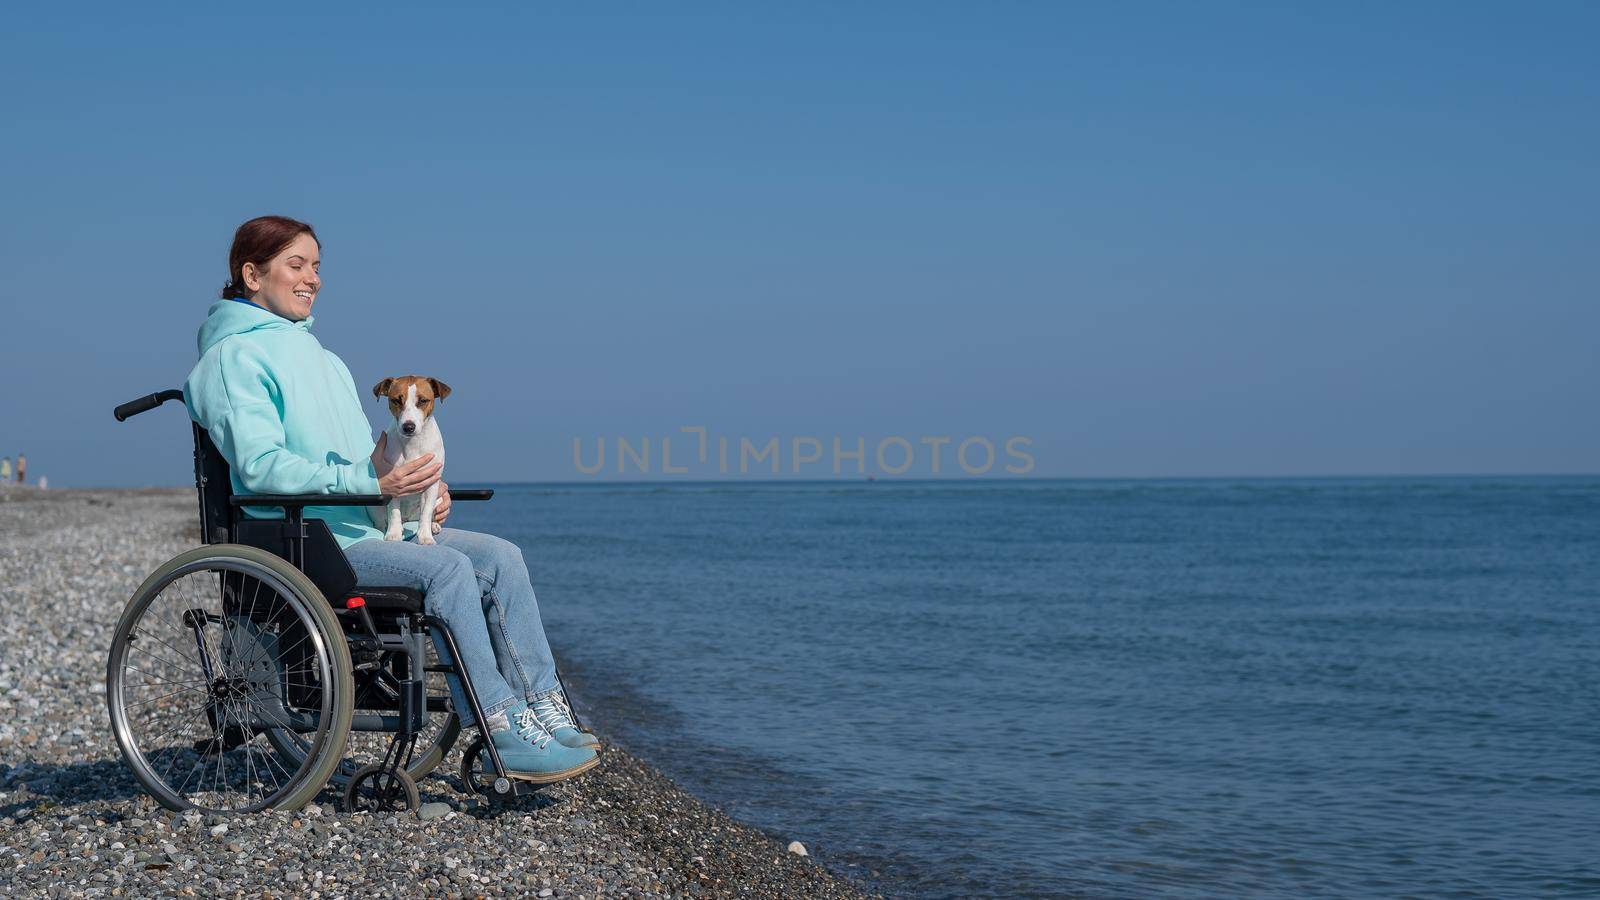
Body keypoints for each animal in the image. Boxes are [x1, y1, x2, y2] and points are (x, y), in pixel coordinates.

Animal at [368, 374, 451, 544]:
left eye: (423, 400)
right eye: (396, 400)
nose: (408, 427)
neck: (412, 443)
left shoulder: (431, 484)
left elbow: (426, 514)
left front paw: (425, 537)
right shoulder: (393, 483)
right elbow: (393, 512)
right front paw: (393, 534)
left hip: (439, 497)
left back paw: (434, 526)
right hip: (372, 506)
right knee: (381, 520)